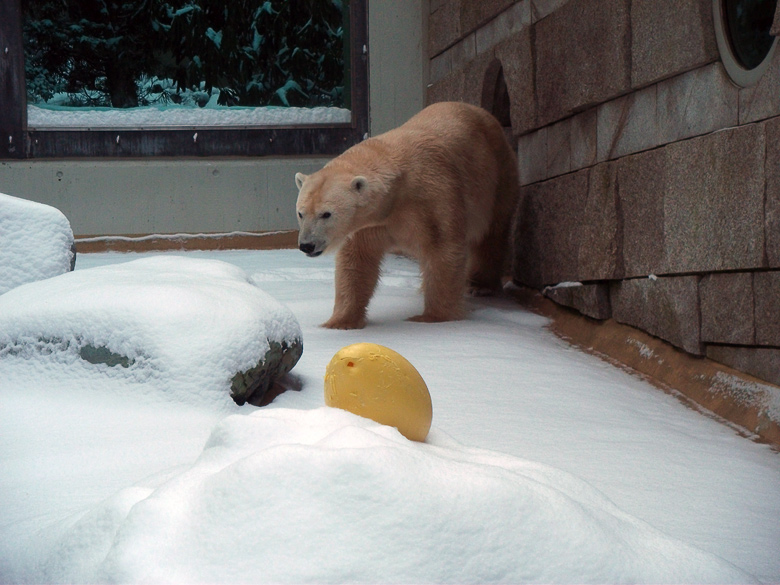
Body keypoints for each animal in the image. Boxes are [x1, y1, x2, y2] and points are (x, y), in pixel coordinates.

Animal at [296, 101, 520, 328]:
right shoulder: (368, 224)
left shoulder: (433, 196)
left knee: (492, 233)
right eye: (301, 213)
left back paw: (480, 285)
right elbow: (356, 261)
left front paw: (432, 318)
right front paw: (339, 323)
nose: (307, 245)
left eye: (326, 214)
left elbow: (443, 249)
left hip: (497, 176)